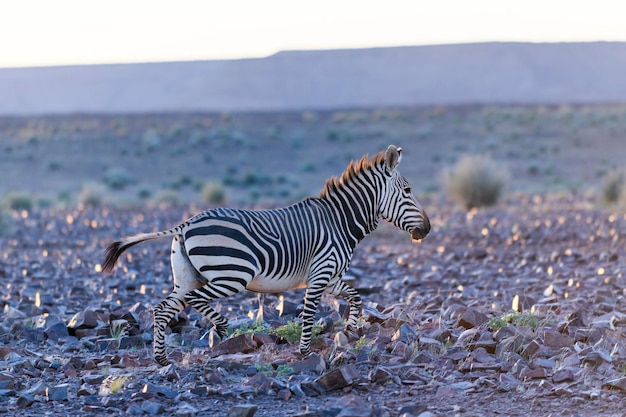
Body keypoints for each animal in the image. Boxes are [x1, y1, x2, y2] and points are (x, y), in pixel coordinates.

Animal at [105, 144, 432, 364]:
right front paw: (305, 352)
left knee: (162, 309)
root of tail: (187, 223)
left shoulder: (329, 276)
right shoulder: (320, 274)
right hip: (231, 274)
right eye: (407, 191)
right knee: (194, 301)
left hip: (186, 277)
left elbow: (355, 296)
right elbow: (309, 314)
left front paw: (351, 330)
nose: (427, 229)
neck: (339, 220)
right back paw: (222, 328)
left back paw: (162, 358)